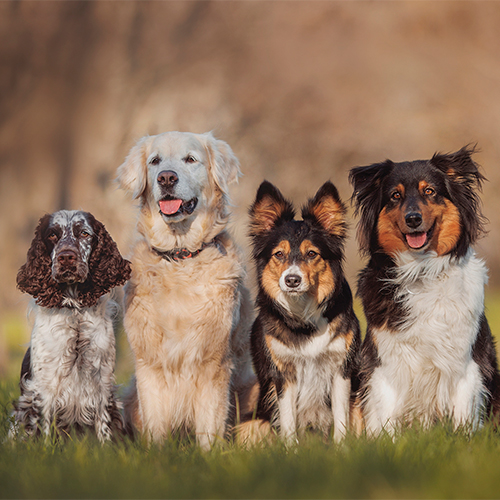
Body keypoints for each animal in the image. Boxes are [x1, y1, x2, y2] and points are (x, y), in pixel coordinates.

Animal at [12, 210, 132, 442]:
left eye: (84, 233)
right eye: (52, 235)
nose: (66, 256)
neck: (74, 310)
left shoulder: (102, 381)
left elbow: (104, 425)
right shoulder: (44, 386)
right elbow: (44, 426)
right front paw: (46, 448)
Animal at [116, 130, 254, 450]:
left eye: (190, 159)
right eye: (155, 161)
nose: (166, 178)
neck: (180, 258)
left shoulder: (214, 362)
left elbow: (210, 425)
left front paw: (209, 455)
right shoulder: (149, 366)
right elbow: (155, 425)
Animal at [242, 180, 360, 442]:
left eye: (312, 253)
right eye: (279, 254)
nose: (292, 280)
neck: (303, 317)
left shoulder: (341, 367)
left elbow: (341, 418)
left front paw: (342, 447)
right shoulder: (283, 373)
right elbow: (288, 421)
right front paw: (292, 448)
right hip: (252, 420)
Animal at [350, 145, 500, 434]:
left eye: (429, 191)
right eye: (395, 195)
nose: (413, 219)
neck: (421, 271)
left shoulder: (466, 363)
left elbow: (463, 414)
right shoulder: (385, 364)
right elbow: (384, 417)